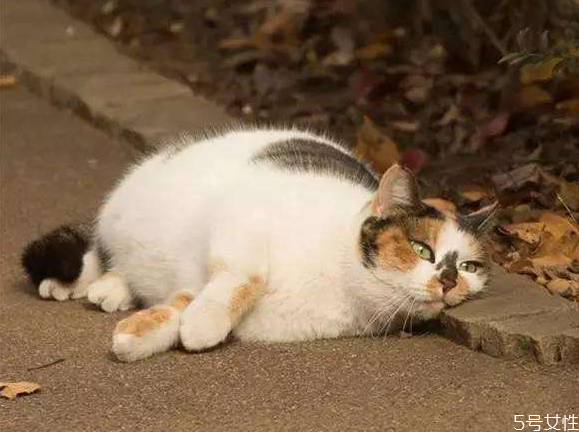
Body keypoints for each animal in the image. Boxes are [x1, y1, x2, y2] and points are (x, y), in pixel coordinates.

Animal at [21, 127, 494, 362]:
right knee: (99, 249)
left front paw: (144, 334)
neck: (339, 280)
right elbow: (243, 279)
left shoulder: (198, 280)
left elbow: (181, 303)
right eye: (421, 249)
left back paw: (111, 292)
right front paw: (200, 326)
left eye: (469, 267)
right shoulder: (241, 225)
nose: (449, 280)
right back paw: (80, 284)